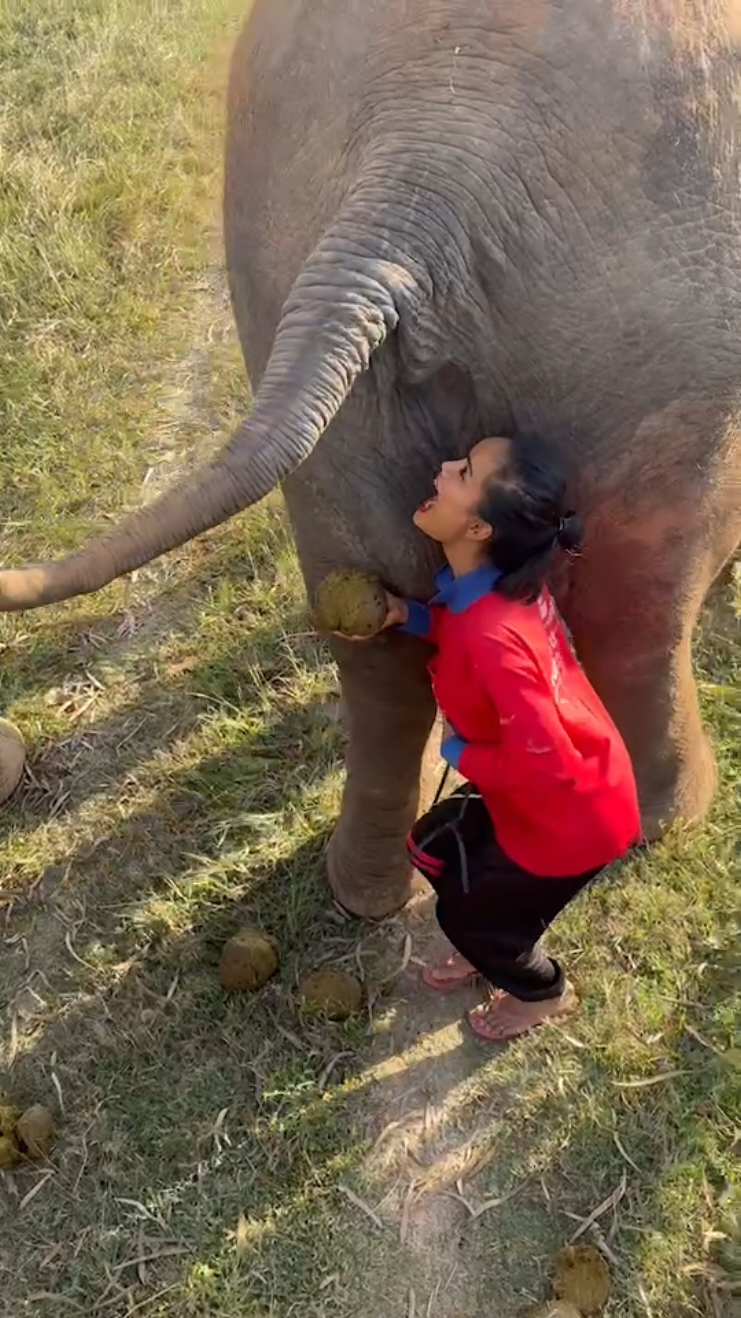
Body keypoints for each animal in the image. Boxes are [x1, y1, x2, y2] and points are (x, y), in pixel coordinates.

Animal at [1, 0, 738, 917]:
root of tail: (421, 159)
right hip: (660, 323)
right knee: (635, 603)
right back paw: (664, 821)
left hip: (276, 260)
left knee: (370, 638)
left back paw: (366, 891)